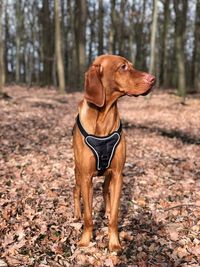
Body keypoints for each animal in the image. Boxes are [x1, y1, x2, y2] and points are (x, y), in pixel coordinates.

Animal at [72, 54, 155, 251]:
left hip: (108, 175)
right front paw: (86, 240)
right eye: (123, 67)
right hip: (78, 173)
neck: (103, 116)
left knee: (104, 190)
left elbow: (116, 214)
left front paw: (114, 242)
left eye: (131, 65)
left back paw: (107, 210)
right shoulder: (86, 177)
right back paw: (77, 213)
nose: (153, 79)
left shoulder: (117, 175)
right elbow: (88, 215)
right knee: (75, 191)